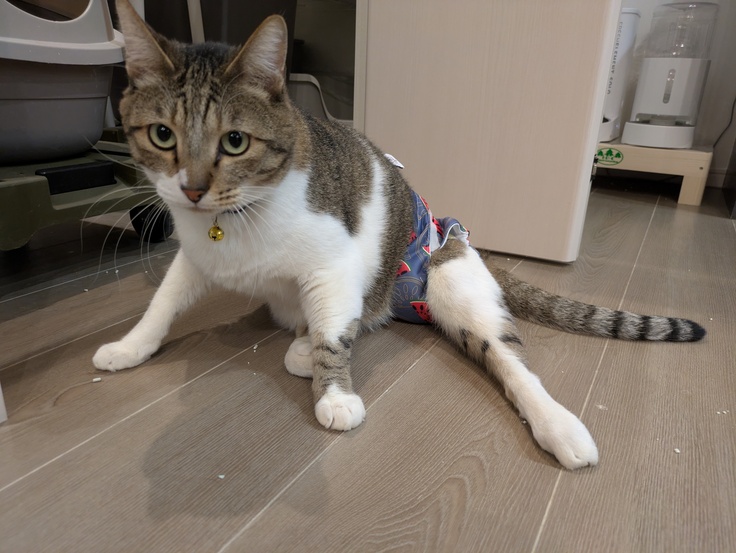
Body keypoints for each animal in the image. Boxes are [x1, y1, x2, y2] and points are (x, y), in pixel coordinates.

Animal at [94, 0, 705, 470]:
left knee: (510, 361)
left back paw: (560, 427)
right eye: (162, 134)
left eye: (235, 142)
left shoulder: (334, 267)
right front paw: (129, 346)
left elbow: (333, 337)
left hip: (449, 285)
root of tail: (458, 240)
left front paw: (336, 395)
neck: (238, 219)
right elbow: (162, 304)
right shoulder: (196, 258)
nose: (192, 190)